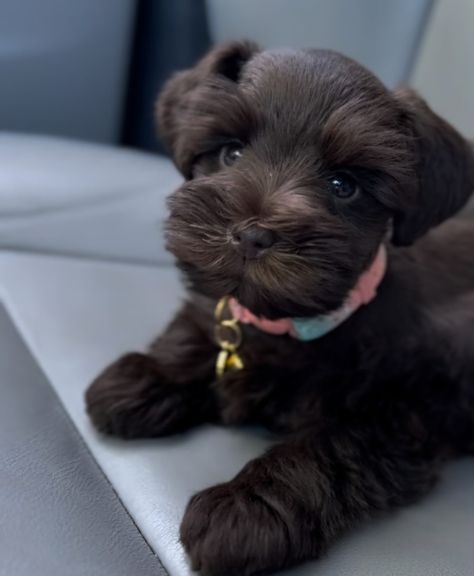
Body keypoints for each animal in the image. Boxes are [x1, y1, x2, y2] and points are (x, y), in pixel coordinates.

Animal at [87, 41, 474, 576]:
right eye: (231, 152)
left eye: (343, 185)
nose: (253, 235)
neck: (297, 321)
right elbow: (199, 326)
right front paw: (145, 378)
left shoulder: (406, 409)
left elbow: (329, 446)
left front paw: (248, 508)